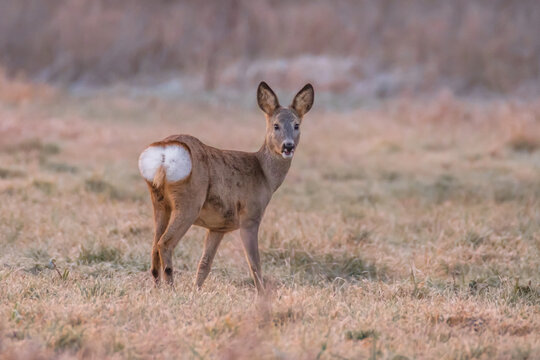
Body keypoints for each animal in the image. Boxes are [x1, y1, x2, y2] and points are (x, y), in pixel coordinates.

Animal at [137, 83, 314, 294]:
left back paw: (158, 288)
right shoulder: (250, 216)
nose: (288, 146)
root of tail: (163, 151)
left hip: (159, 201)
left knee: (154, 245)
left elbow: (204, 264)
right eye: (276, 125)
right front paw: (262, 295)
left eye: (297, 125)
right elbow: (254, 264)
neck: (264, 175)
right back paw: (171, 288)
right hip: (189, 202)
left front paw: (196, 292)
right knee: (165, 242)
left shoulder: (218, 226)